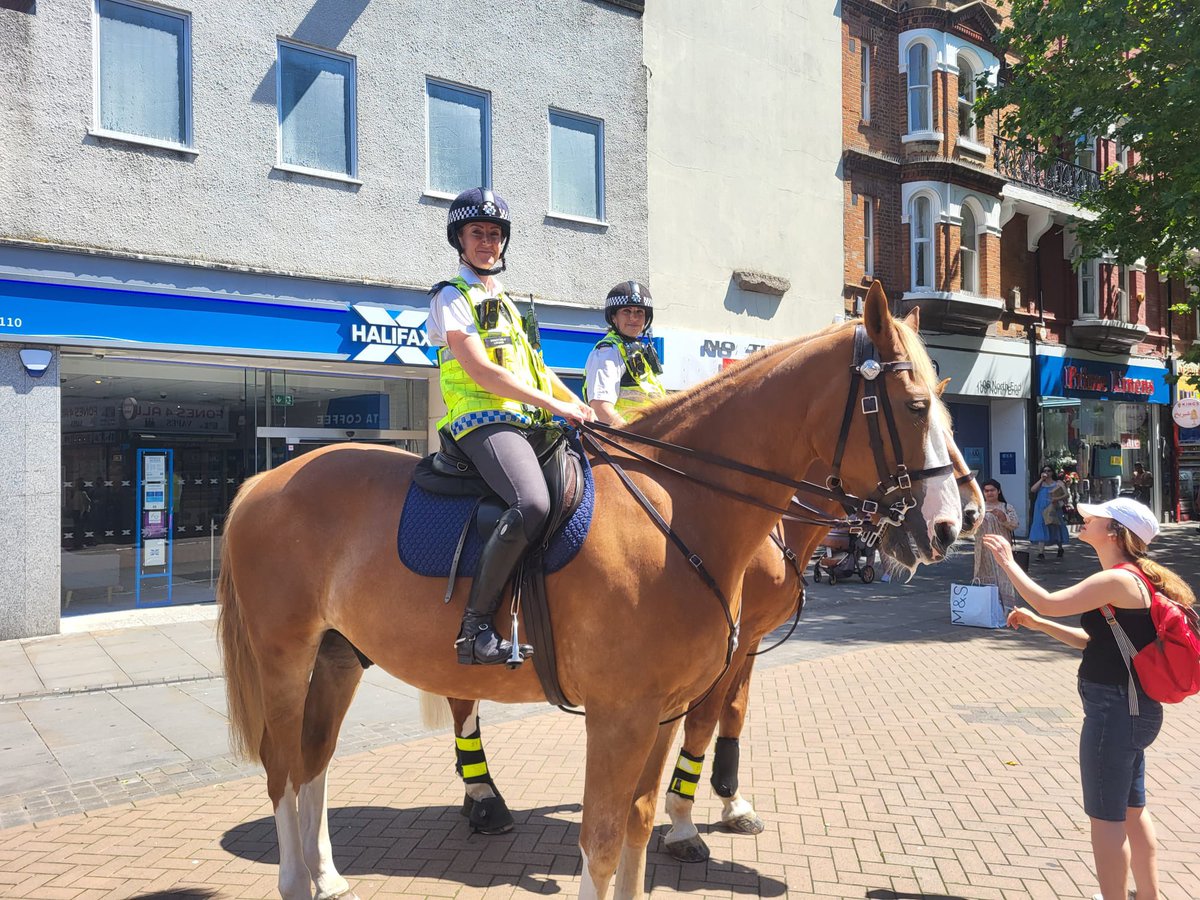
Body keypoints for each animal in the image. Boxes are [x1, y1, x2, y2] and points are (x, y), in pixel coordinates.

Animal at [425, 421, 983, 859]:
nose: (969, 515)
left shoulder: (748, 638)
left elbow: (733, 710)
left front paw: (730, 801)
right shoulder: (730, 643)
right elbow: (707, 717)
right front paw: (685, 819)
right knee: (461, 699)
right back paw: (485, 798)